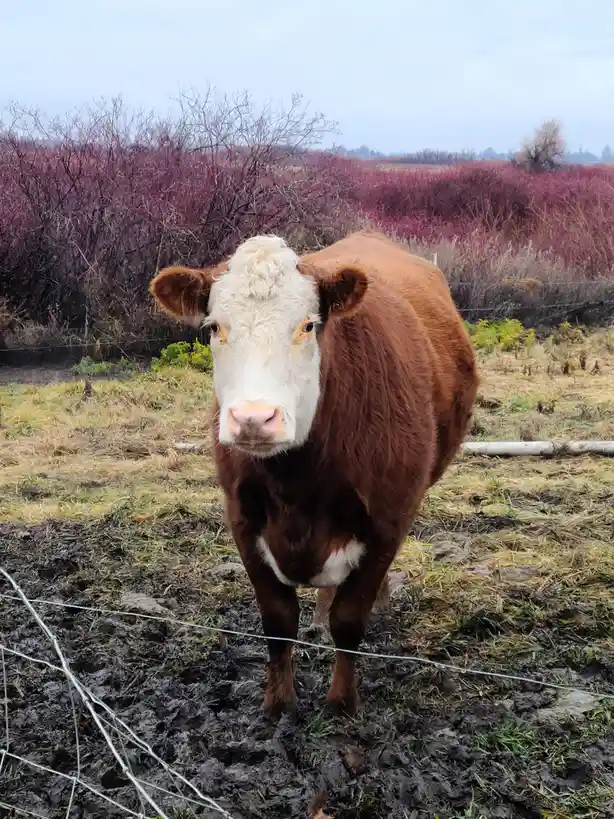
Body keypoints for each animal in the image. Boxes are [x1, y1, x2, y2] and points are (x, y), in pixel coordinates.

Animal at [149, 229, 478, 718]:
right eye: (214, 327)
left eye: (307, 326)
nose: (254, 419)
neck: (296, 488)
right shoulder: (242, 518)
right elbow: (278, 619)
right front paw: (279, 702)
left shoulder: (389, 519)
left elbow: (350, 618)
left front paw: (342, 702)